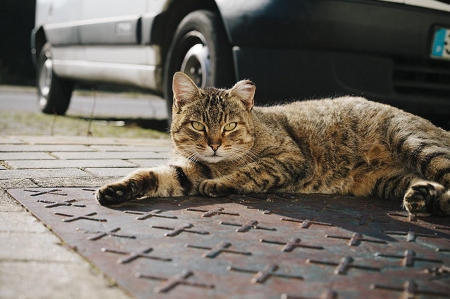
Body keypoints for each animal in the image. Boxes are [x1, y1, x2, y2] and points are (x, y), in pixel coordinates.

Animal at [96, 71, 450, 216]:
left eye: (230, 125)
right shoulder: (189, 169)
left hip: (414, 141)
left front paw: (222, 184)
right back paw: (422, 197)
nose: (214, 145)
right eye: (198, 125)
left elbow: (254, 171)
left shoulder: (292, 159)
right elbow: (153, 175)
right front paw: (117, 189)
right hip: (389, 180)